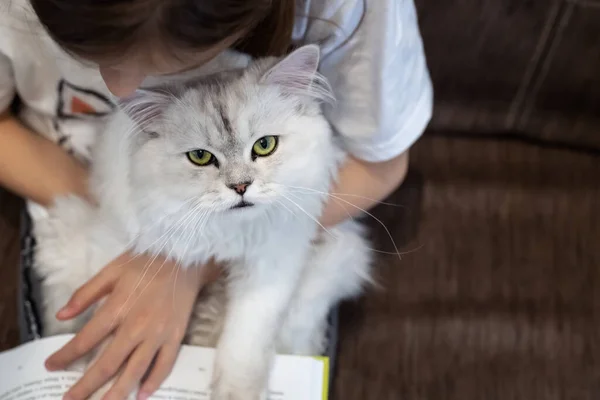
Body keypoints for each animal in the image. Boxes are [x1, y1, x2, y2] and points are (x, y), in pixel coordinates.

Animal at [35, 44, 372, 400]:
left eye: (265, 145)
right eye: (200, 157)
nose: (240, 187)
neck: (229, 234)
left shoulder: (273, 262)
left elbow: (245, 341)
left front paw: (238, 393)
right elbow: (109, 342)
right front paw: (102, 385)